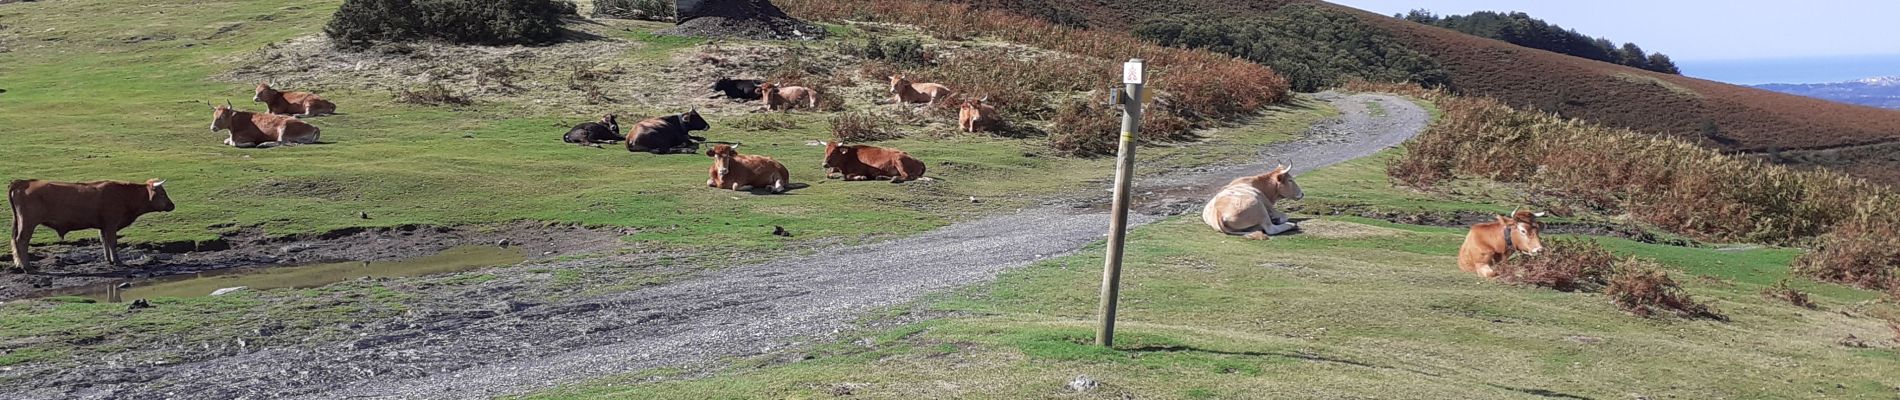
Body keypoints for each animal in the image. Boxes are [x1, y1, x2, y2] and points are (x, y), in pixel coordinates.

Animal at [9, 179, 176, 271]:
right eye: (162, 193)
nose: (172, 205)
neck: (124, 195)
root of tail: (23, 182)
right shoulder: (111, 223)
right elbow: (113, 242)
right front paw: (118, 261)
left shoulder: (103, 226)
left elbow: (104, 241)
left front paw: (108, 260)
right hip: (28, 223)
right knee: (21, 241)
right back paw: (27, 266)